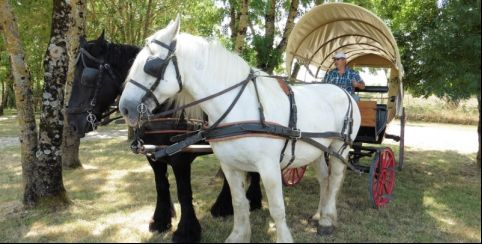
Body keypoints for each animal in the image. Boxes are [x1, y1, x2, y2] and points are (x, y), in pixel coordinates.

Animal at [66, 32, 262, 242]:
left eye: (87, 77)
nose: (72, 124)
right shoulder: (153, 156)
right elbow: (161, 185)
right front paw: (161, 220)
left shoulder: (180, 158)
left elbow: (184, 192)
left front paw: (187, 231)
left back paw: (244, 203)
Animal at [118, 16, 360, 242]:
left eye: (152, 64)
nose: (125, 108)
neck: (240, 107)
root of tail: (344, 91)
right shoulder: (230, 166)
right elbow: (239, 203)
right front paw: (239, 235)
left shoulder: (269, 167)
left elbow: (277, 209)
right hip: (318, 149)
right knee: (324, 178)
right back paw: (320, 215)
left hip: (340, 147)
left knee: (335, 179)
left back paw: (327, 220)